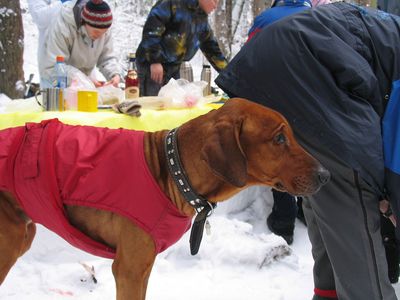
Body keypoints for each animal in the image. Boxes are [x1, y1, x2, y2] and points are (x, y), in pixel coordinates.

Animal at [0, 98, 330, 298]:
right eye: (279, 138)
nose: (326, 175)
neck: (171, 170)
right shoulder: (129, 270)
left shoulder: (143, 268)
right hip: (10, 242)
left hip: (23, 233)